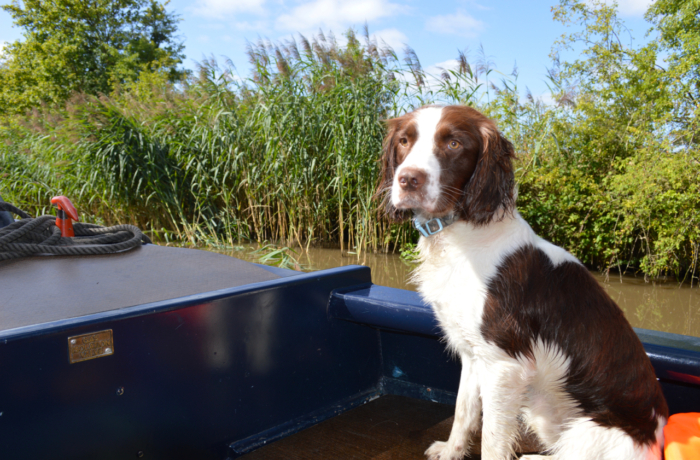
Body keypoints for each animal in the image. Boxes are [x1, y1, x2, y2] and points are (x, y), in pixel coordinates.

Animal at [378, 105, 668, 460]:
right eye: (405, 140)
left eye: (454, 144)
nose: (407, 180)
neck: (459, 235)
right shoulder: (475, 354)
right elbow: (464, 410)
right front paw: (451, 450)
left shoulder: (504, 365)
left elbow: (492, 441)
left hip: (588, 431)